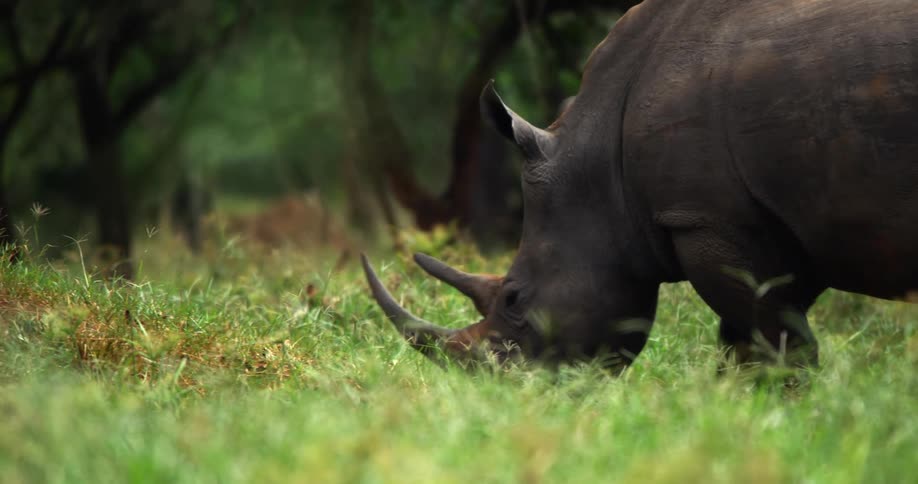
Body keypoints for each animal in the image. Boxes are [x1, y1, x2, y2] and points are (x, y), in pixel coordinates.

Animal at [362, 0, 918, 369]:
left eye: (515, 300)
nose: (499, 386)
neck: (600, 165)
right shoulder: (781, 224)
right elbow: (747, 340)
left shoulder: (708, 219)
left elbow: (772, 344)